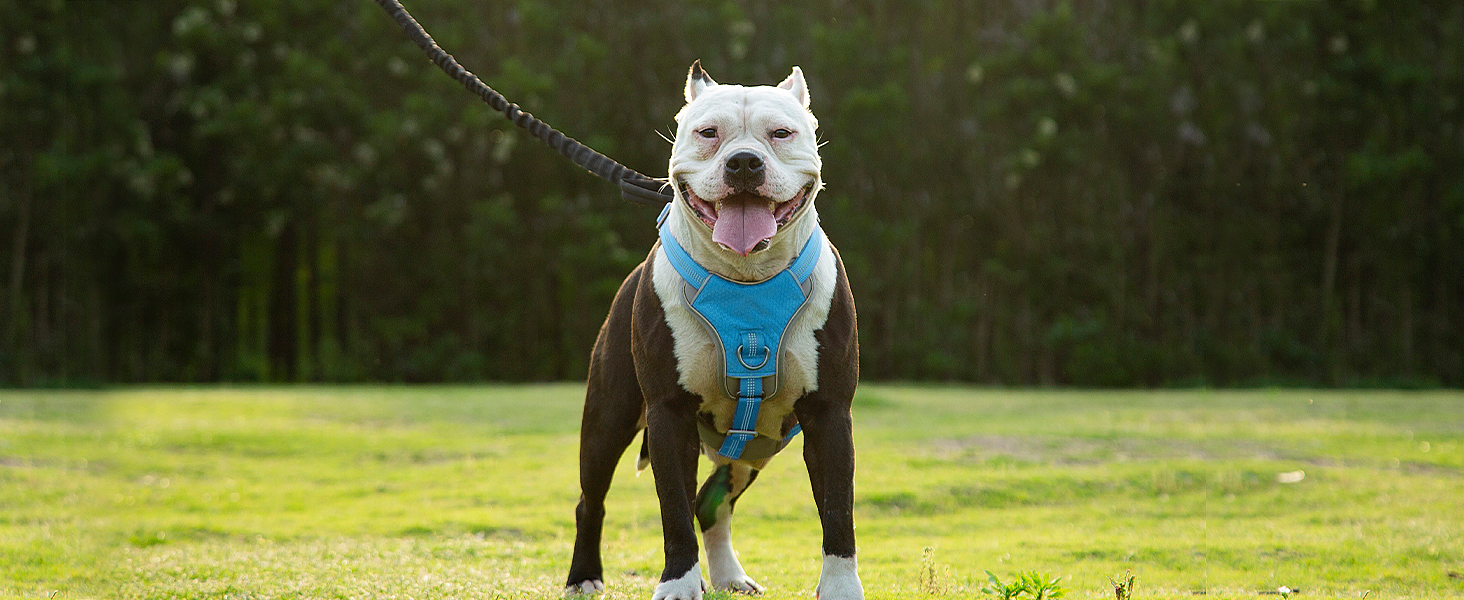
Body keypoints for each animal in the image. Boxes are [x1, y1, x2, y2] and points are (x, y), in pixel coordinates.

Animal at [559, 62, 854, 600]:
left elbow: (838, 513)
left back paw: (727, 575)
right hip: (609, 416)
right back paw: (584, 576)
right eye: (708, 133)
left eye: (781, 133)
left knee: (710, 502)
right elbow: (673, 512)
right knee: (593, 499)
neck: (747, 279)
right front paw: (678, 584)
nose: (743, 162)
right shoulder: (669, 415)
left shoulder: (829, 415)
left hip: (754, 445)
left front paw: (842, 588)